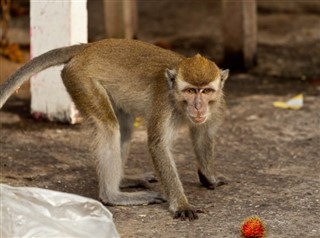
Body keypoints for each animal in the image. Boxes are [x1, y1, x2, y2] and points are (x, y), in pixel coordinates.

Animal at [0, 38, 230, 219]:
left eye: (206, 91)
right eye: (190, 91)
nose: (198, 106)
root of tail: (88, 47)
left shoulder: (217, 104)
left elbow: (203, 135)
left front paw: (209, 177)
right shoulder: (164, 104)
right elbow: (158, 146)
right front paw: (181, 205)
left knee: (125, 126)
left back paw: (123, 181)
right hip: (81, 79)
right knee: (108, 125)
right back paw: (113, 195)